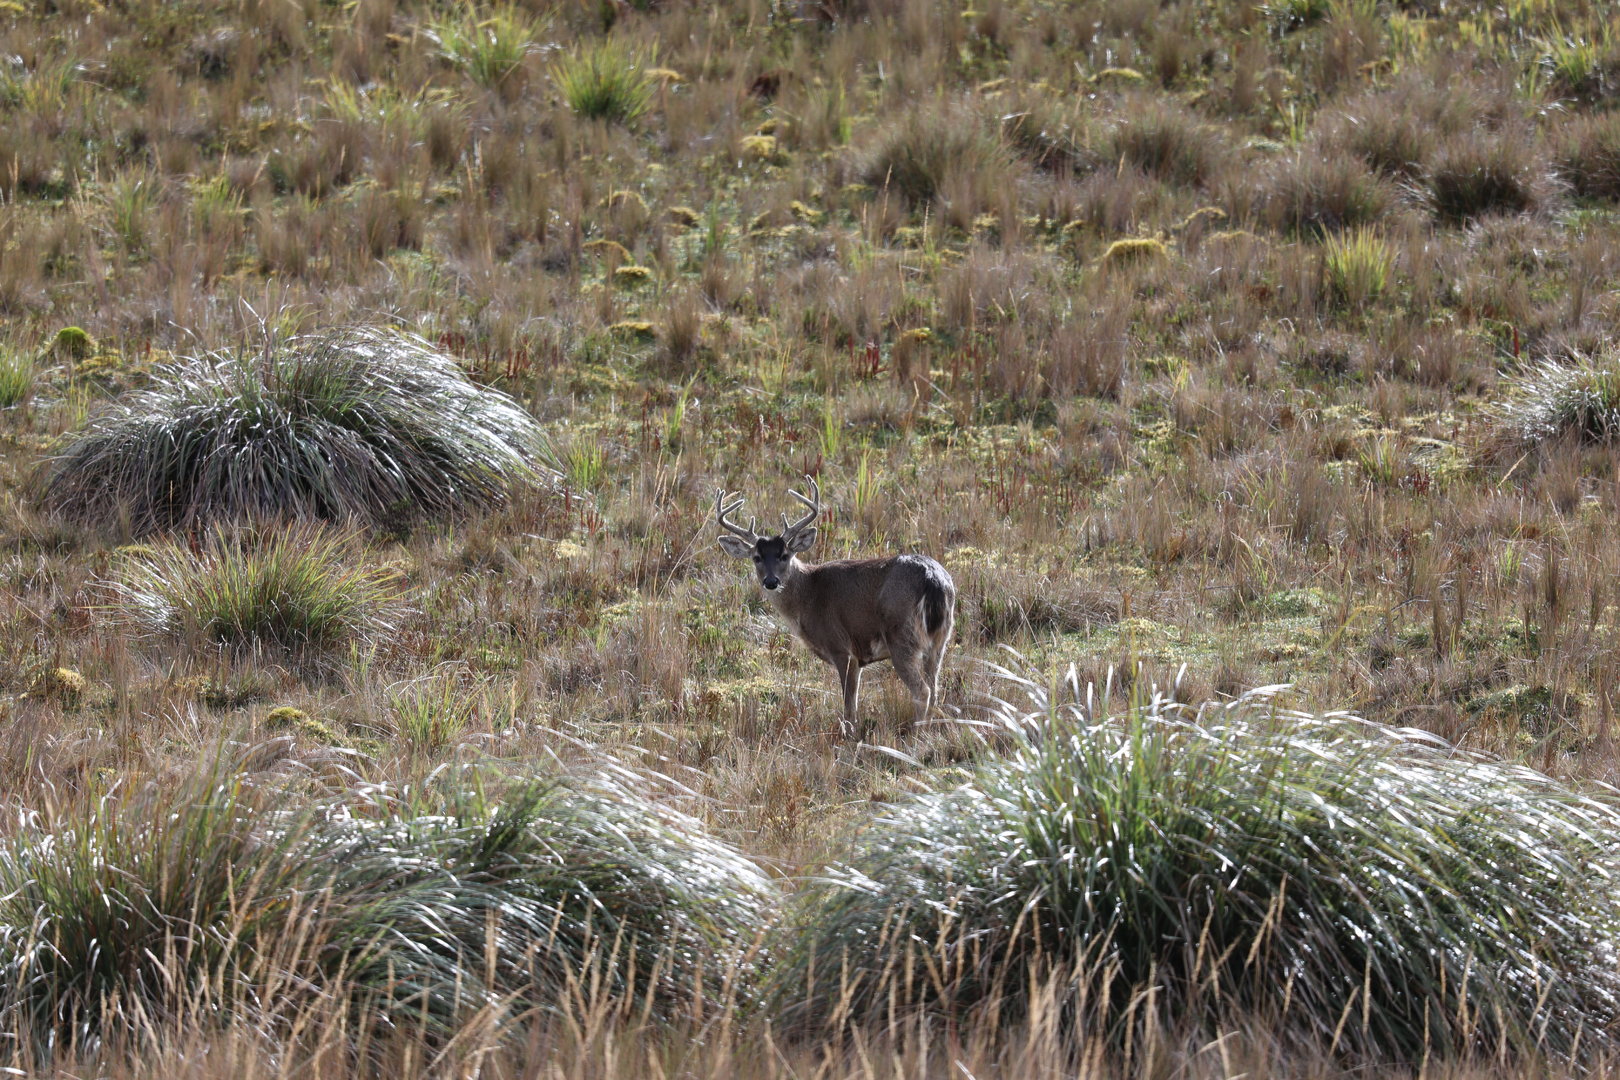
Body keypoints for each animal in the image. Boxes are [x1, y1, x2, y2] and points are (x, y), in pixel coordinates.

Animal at [715, 476, 955, 738]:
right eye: (757, 557)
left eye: (785, 555)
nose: (771, 581)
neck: (808, 596)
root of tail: (933, 578)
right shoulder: (859, 658)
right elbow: (854, 704)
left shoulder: (841, 647)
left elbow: (849, 707)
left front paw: (849, 738)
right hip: (940, 640)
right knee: (935, 687)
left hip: (902, 636)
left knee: (922, 691)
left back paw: (916, 735)